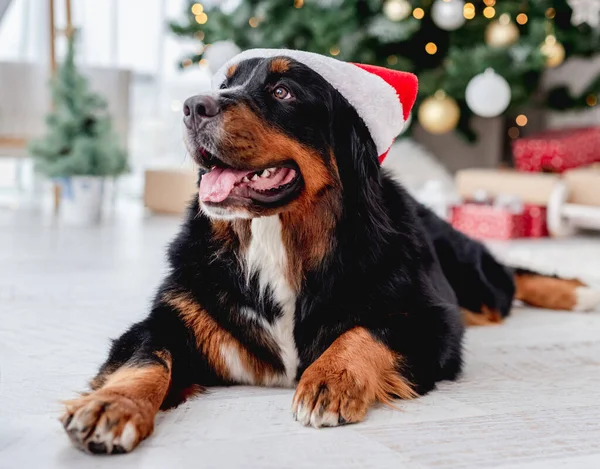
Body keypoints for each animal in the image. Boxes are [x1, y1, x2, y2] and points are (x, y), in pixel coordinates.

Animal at [59, 51, 596, 454]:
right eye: (226, 83)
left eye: (283, 92)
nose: (192, 106)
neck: (277, 241)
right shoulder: (173, 316)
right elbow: (145, 359)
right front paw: (112, 408)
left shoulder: (434, 321)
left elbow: (366, 330)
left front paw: (330, 379)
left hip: (473, 280)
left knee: (510, 275)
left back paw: (579, 292)